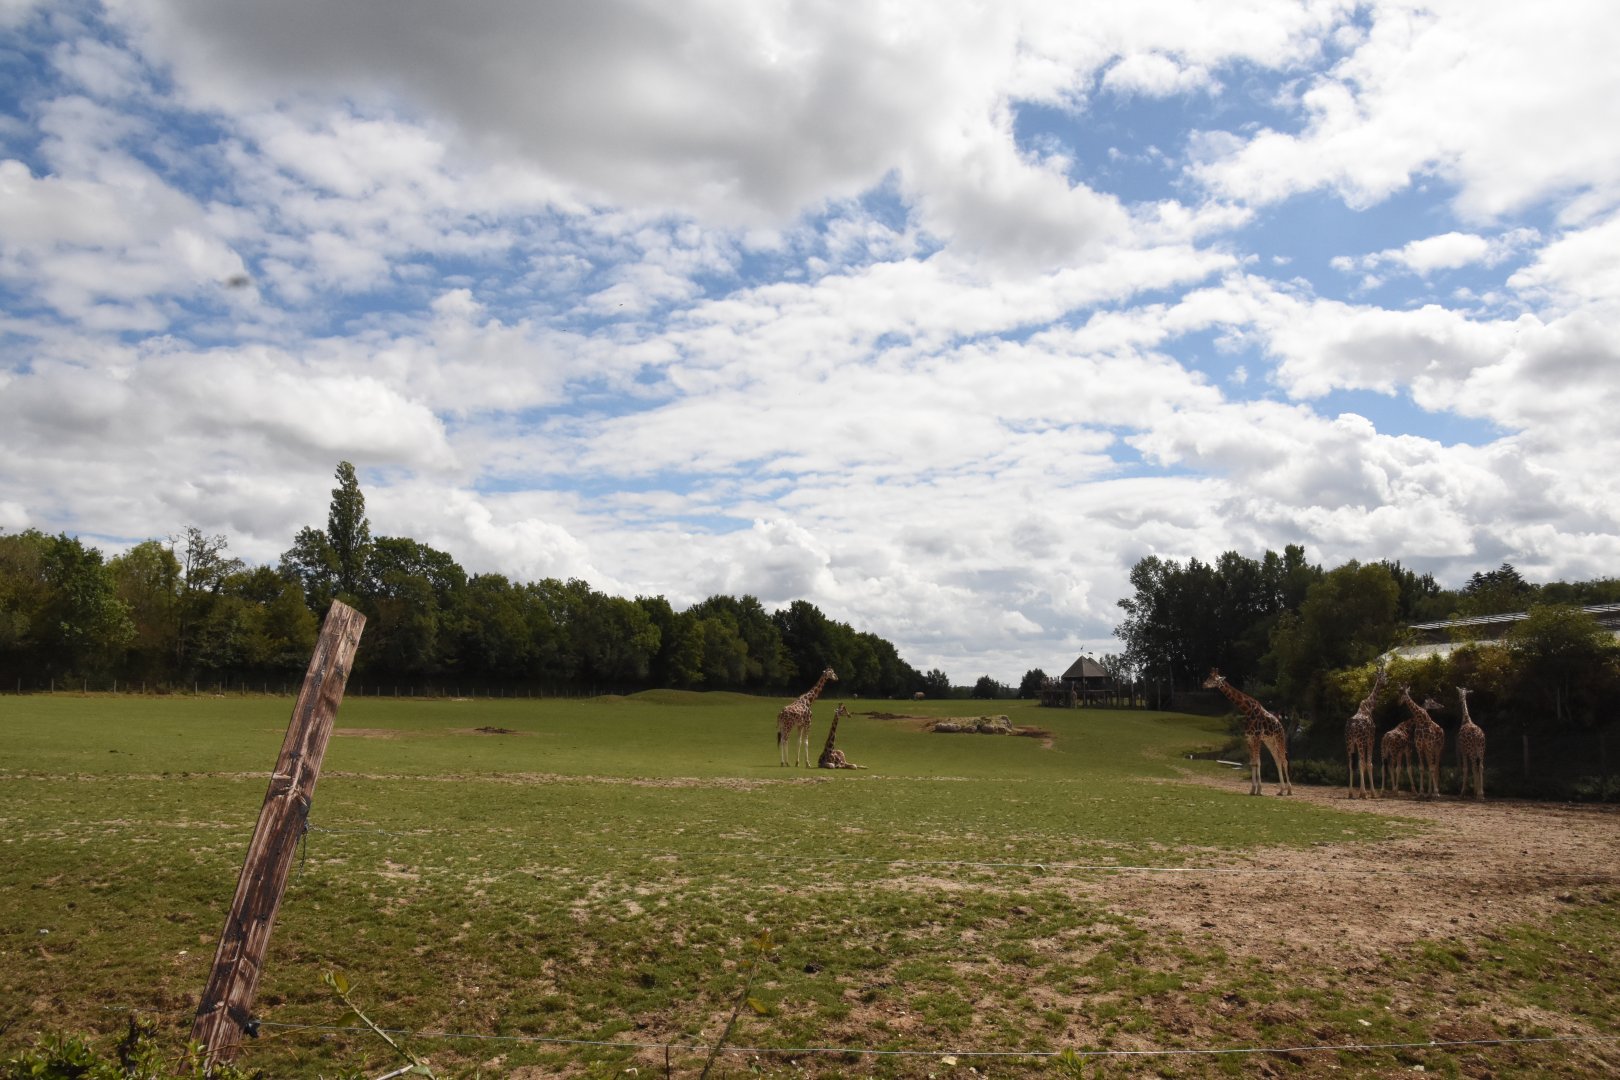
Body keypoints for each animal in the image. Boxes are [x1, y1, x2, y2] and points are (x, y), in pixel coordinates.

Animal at [1345, 660, 1387, 799]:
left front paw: (1360, 792)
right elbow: (1369, 764)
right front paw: (1371, 793)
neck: (1369, 707)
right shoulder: (1370, 739)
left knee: (1351, 764)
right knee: (1361, 763)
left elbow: (1361, 764)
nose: (1386, 682)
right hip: (1360, 741)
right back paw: (1363, 794)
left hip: (1349, 743)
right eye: (1385, 675)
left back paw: (1350, 793)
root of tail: (1352, 727)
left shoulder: (1359, 742)